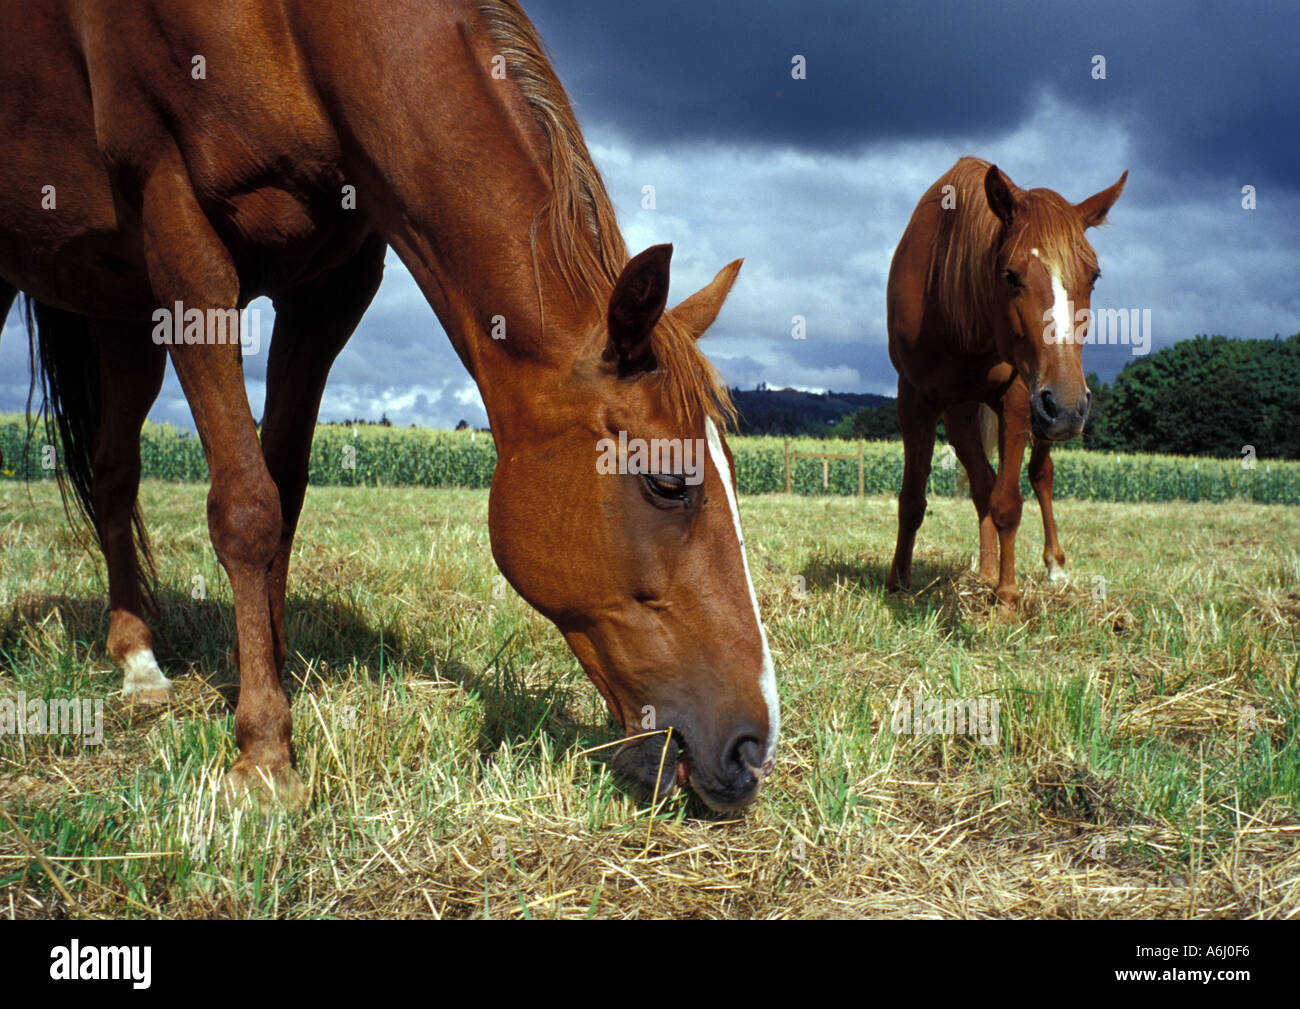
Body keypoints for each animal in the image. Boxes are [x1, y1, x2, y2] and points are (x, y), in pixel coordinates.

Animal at [0, 0, 774, 811]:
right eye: (667, 481)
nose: (752, 748)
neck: (296, 33)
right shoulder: (182, 235)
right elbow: (247, 507)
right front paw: (264, 751)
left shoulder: (331, 286)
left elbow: (284, 495)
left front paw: (268, 670)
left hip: (122, 316)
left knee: (113, 473)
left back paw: (136, 657)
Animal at [889, 157, 1123, 605]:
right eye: (1010, 276)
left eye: (1094, 276)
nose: (1068, 406)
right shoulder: (913, 398)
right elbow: (912, 499)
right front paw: (897, 583)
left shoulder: (1018, 399)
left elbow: (1009, 503)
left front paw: (1008, 599)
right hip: (973, 412)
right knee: (983, 484)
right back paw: (984, 572)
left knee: (1039, 476)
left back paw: (1053, 567)